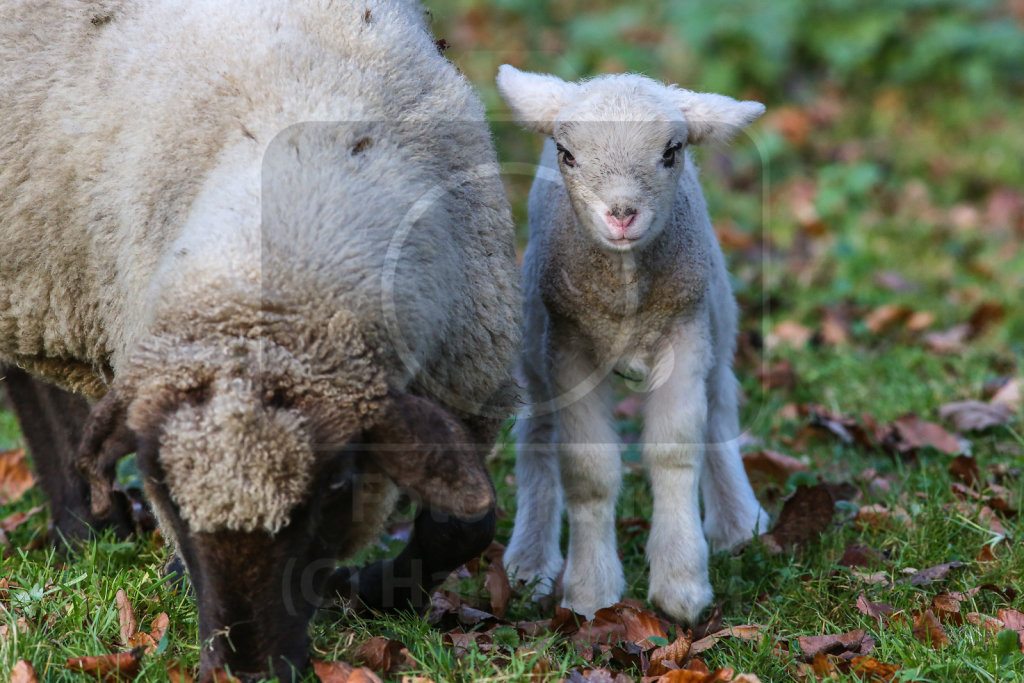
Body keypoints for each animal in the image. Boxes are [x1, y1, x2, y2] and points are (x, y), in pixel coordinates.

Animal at [0, 0, 520, 679]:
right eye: (162, 486)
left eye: (335, 486)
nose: (245, 671)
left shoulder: (469, 386)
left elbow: (466, 525)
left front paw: (379, 590)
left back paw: (91, 527)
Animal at [493, 66, 770, 622]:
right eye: (566, 153)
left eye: (671, 151)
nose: (621, 214)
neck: (626, 302)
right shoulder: (568, 349)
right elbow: (588, 471)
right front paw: (590, 594)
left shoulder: (685, 335)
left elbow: (675, 451)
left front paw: (682, 587)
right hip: (532, 333)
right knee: (537, 432)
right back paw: (530, 561)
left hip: (718, 309)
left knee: (720, 407)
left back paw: (737, 523)